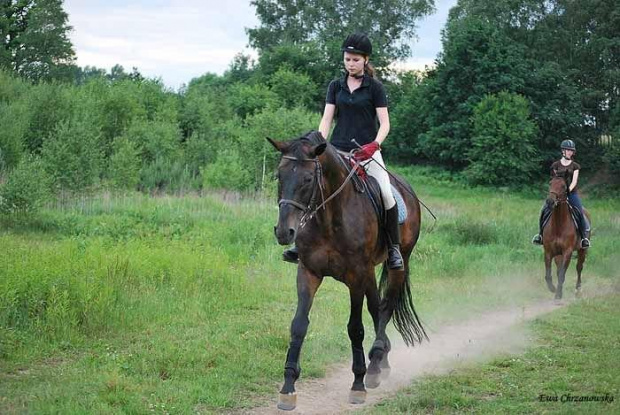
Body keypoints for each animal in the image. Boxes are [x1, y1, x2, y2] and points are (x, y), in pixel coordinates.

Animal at [268, 132, 428, 412]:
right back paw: (381, 361)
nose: (284, 232)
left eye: (308, 179)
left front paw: (358, 384)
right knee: (376, 307)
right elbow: (299, 325)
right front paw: (288, 387)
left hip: (397, 265)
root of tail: (406, 187)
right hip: (369, 273)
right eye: (280, 175)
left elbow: (355, 328)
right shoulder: (308, 272)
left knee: (386, 306)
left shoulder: (356, 276)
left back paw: (374, 365)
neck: (329, 218)